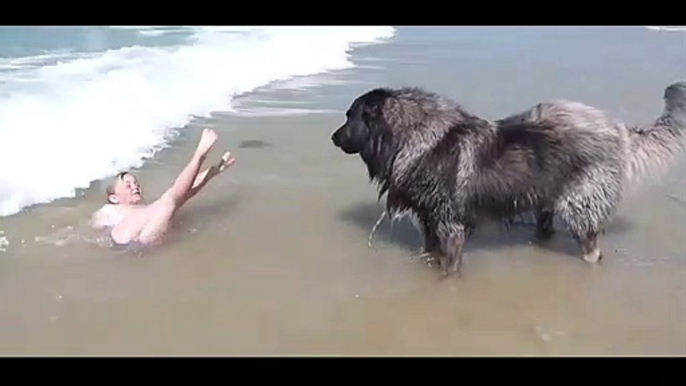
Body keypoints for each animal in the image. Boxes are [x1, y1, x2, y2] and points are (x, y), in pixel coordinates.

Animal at [330, 82, 684, 274]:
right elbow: (430, 252)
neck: (412, 135)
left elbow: (450, 266)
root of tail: (617, 129)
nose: (333, 137)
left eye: (349, 117)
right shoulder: (430, 220)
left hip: (580, 205)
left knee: (592, 248)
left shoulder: (450, 224)